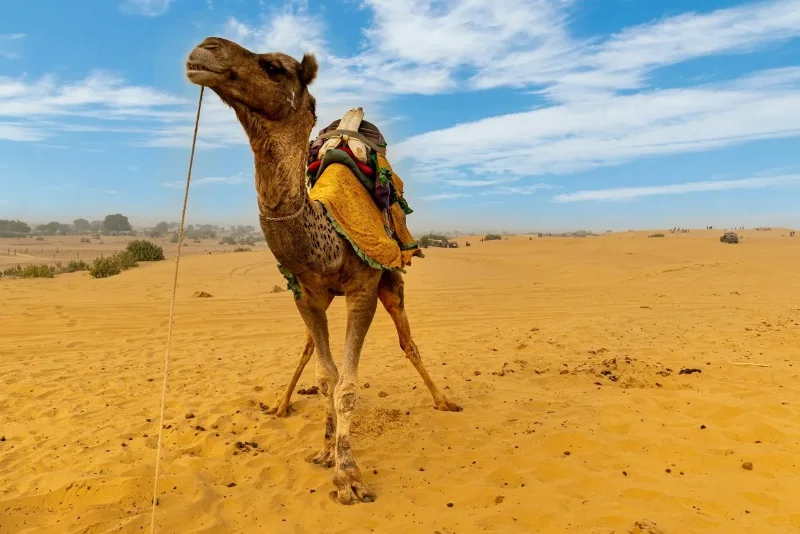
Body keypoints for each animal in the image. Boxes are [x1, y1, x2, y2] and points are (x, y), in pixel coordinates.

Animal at [185, 37, 460, 504]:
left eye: (274, 67)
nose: (205, 48)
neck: (325, 235)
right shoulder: (306, 295)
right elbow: (326, 377)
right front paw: (326, 451)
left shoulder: (363, 290)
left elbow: (347, 385)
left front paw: (348, 475)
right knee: (310, 349)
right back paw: (281, 406)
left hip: (392, 280)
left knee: (408, 341)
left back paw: (443, 401)